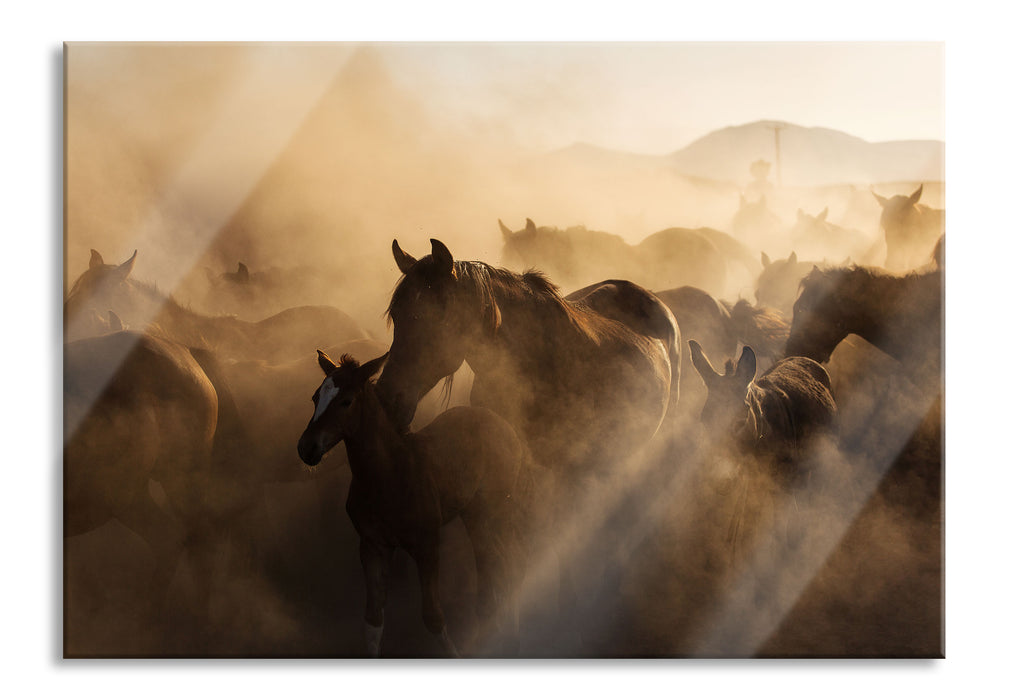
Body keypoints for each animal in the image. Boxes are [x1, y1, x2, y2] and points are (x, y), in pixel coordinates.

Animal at [294, 353, 528, 661]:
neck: (389, 474)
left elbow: (433, 617)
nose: (306, 448)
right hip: (473, 513)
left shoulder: (427, 546)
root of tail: (502, 422)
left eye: (346, 401)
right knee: (493, 562)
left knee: (508, 560)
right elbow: (373, 622)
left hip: (496, 508)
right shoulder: (372, 546)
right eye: (314, 397)